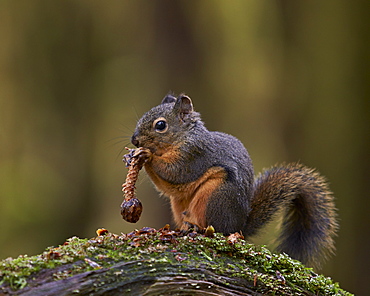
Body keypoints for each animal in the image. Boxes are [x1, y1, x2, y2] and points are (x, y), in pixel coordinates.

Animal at [129, 93, 338, 268]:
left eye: (160, 125)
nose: (134, 140)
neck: (184, 136)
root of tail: (239, 227)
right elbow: (168, 186)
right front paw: (132, 155)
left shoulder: (193, 155)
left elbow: (176, 172)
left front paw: (147, 155)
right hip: (180, 204)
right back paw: (184, 227)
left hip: (217, 195)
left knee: (217, 229)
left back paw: (198, 228)